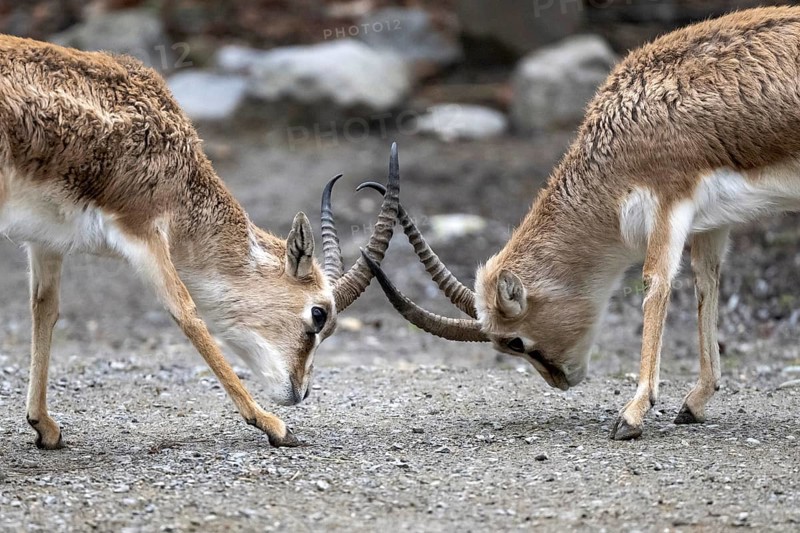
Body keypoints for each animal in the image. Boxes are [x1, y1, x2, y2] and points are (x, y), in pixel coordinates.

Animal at [0, 34, 401, 449]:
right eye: (319, 314)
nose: (300, 392)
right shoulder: (143, 231)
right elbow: (187, 312)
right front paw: (271, 424)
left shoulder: (45, 240)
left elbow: (45, 309)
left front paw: (44, 425)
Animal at [363, 6, 800, 440]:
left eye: (514, 342)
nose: (561, 381)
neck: (626, 120)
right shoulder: (712, 222)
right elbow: (706, 283)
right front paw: (695, 402)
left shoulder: (669, 203)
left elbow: (656, 284)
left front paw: (631, 415)